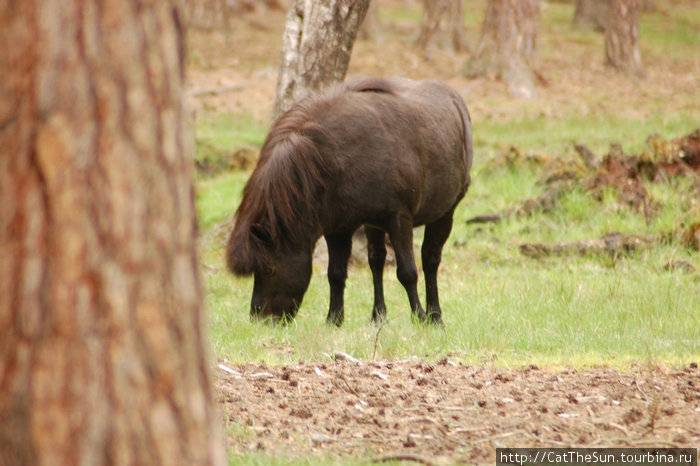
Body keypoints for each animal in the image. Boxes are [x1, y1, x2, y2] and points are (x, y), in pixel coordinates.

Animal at [227, 77, 474, 324]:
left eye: (268, 269)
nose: (260, 318)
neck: (336, 157)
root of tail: (454, 98)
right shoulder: (338, 229)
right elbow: (335, 273)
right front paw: (334, 319)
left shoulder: (399, 219)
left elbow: (408, 272)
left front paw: (420, 316)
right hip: (374, 225)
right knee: (376, 260)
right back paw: (379, 315)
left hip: (444, 214)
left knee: (430, 260)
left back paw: (435, 316)